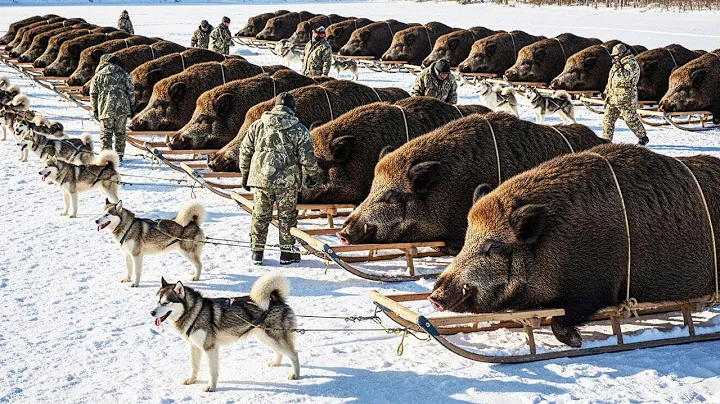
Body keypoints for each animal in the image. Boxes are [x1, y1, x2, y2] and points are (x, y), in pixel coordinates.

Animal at [429, 143, 720, 347]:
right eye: (467, 238)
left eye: (493, 246)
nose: (434, 297)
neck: (555, 245)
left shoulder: (597, 288)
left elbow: (564, 318)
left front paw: (576, 342)